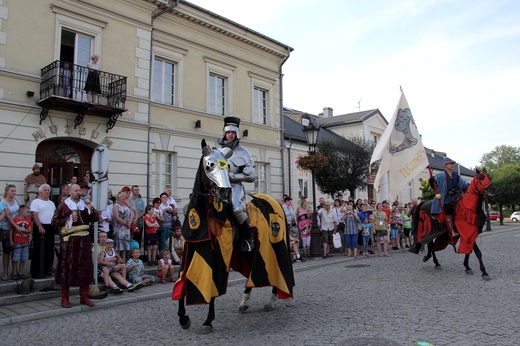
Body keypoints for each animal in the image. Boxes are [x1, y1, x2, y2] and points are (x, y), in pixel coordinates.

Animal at [173, 140, 294, 332]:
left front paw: (208, 320)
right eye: (209, 165)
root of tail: (277, 203)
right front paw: (183, 318)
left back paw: (271, 301)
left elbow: (214, 284)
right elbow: (182, 280)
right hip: (251, 253)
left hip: (273, 245)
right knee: (252, 274)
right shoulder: (189, 251)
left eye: (227, 166)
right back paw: (244, 303)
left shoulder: (218, 254)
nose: (223, 191)